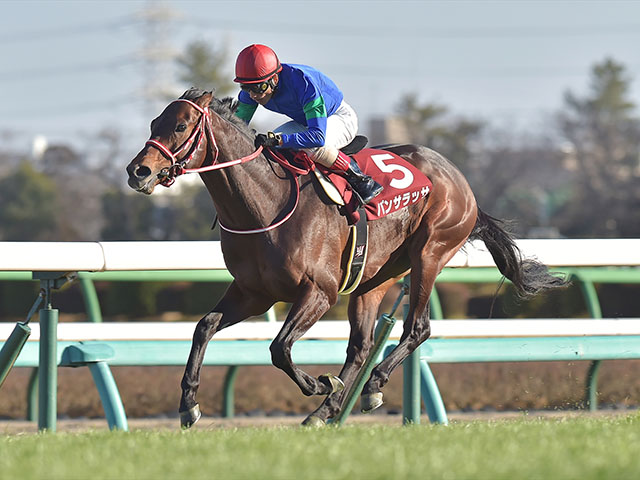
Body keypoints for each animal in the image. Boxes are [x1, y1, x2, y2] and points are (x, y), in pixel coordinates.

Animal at [125, 89, 564, 428]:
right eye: (152, 123)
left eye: (181, 126)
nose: (138, 171)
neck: (265, 203)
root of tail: (459, 179)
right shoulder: (254, 292)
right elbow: (204, 327)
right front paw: (188, 405)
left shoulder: (320, 291)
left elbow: (279, 348)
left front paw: (319, 383)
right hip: (374, 279)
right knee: (362, 345)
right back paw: (328, 410)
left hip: (431, 252)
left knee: (416, 328)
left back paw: (368, 387)